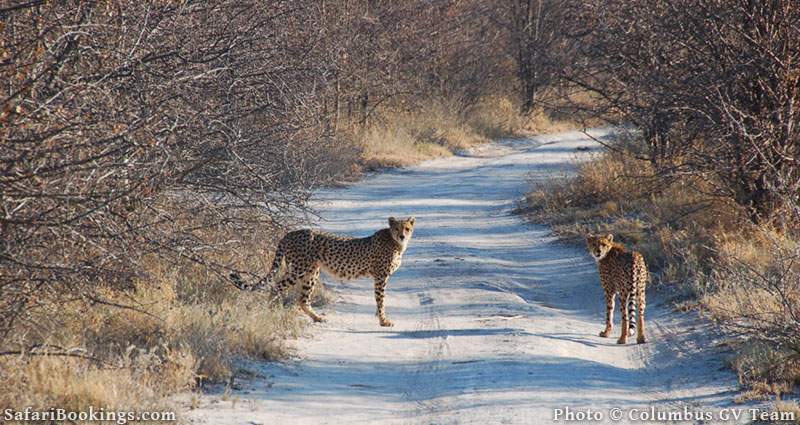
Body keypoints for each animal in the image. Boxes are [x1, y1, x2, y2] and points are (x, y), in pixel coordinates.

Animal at [230, 217, 416, 326]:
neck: (396, 243)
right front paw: (383, 320)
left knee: (303, 299)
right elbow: (381, 299)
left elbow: (380, 300)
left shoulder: (380, 277)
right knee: (276, 285)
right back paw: (272, 311)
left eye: (407, 228)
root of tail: (290, 233)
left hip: (311, 273)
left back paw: (317, 318)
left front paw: (379, 317)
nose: (402, 236)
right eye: (397, 228)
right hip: (299, 269)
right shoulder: (380, 276)